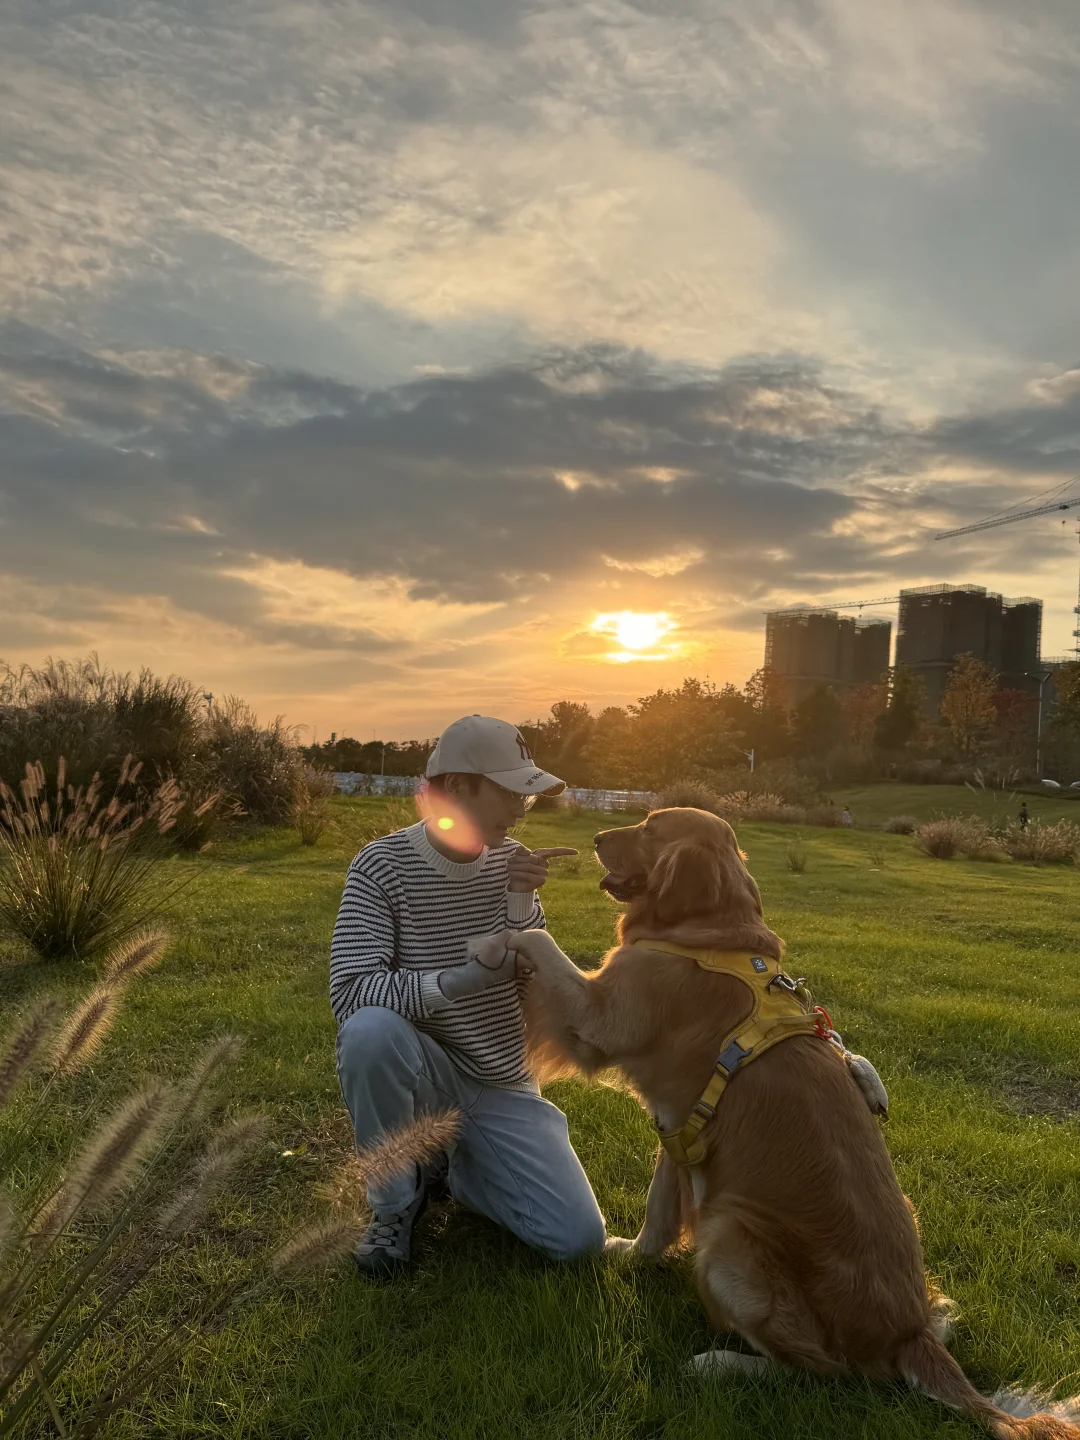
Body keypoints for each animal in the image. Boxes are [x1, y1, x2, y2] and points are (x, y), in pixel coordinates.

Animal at [497, 806, 1080, 1440]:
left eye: (650, 828)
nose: (600, 836)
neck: (709, 932)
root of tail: (907, 1334)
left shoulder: (600, 1018)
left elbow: (537, 940)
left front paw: (496, 937)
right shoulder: (677, 1129)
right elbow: (657, 1215)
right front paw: (628, 1252)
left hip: (731, 1234)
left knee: (821, 1372)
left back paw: (722, 1363)